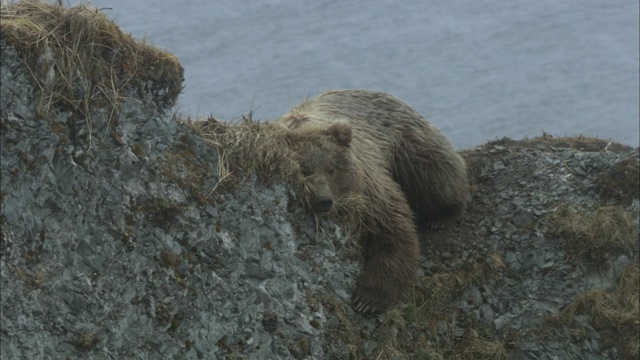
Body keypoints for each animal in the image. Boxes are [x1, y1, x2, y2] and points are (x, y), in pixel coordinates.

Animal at [278, 88, 468, 314]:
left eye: (331, 169)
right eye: (304, 171)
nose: (324, 201)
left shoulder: (368, 185)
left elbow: (391, 226)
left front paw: (368, 299)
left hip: (406, 141)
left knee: (433, 172)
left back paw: (443, 215)